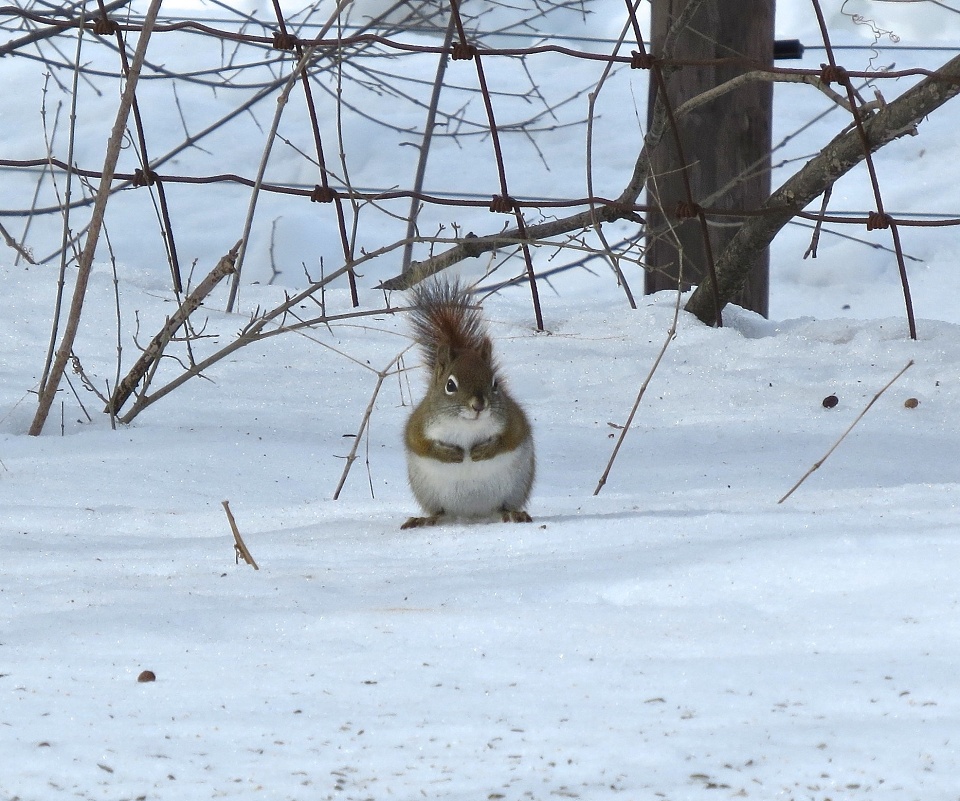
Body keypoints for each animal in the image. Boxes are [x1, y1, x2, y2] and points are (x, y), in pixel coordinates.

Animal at [401, 279, 535, 529]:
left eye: (495, 383)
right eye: (450, 385)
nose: (479, 405)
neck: (466, 425)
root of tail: (473, 516)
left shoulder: (514, 421)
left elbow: (509, 439)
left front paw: (483, 450)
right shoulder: (419, 424)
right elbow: (421, 444)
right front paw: (450, 454)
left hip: (514, 489)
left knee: (504, 507)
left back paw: (514, 514)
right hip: (430, 494)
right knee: (439, 512)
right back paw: (424, 519)